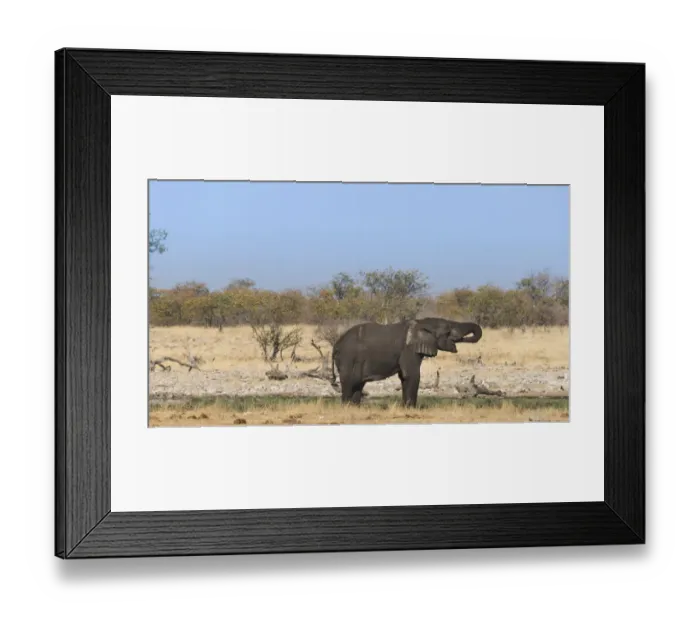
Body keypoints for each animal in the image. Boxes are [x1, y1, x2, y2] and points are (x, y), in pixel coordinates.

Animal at [330, 318, 483, 407]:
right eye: (448, 331)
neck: (423, 323)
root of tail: (336, 344)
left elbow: (405, 376)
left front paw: (405, 408)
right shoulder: (408, 350)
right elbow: (411, 375)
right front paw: (411, 408)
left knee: (358, 384)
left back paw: (355, 407)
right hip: (347, 357)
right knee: (349, 381)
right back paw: (346, 407)